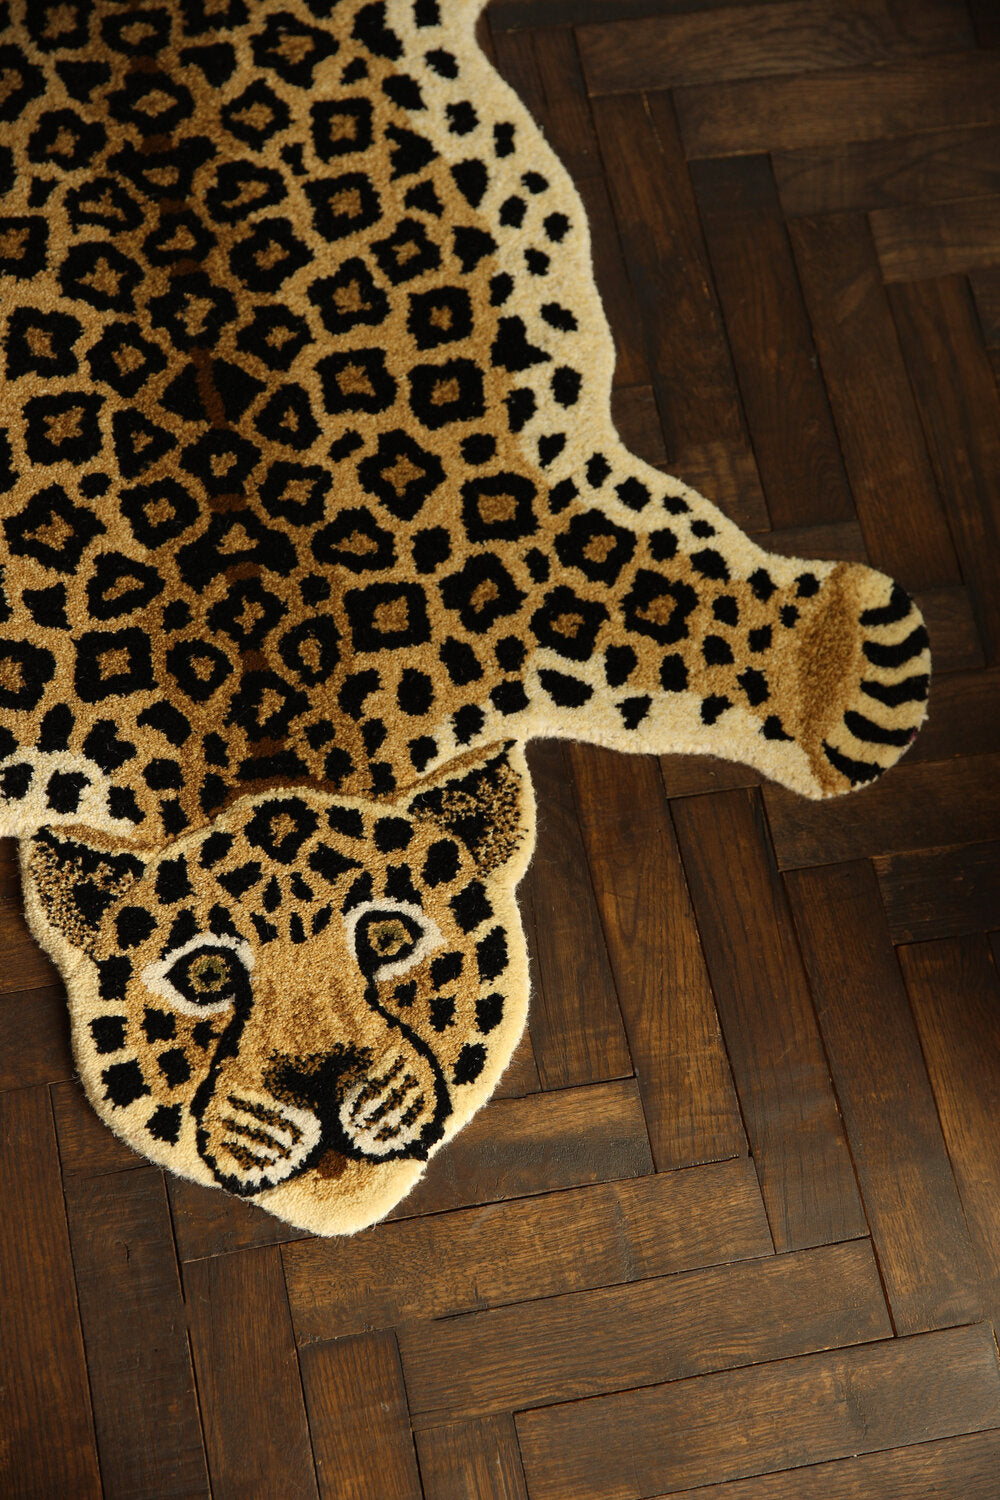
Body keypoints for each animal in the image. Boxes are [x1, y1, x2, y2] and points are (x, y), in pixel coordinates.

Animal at [0, 0, 930, 1233]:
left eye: (390, 936)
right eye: (204, 974)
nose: (321, 1078)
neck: (260, 710)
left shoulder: (511, 553)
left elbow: (651, 593)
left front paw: (851, 670)